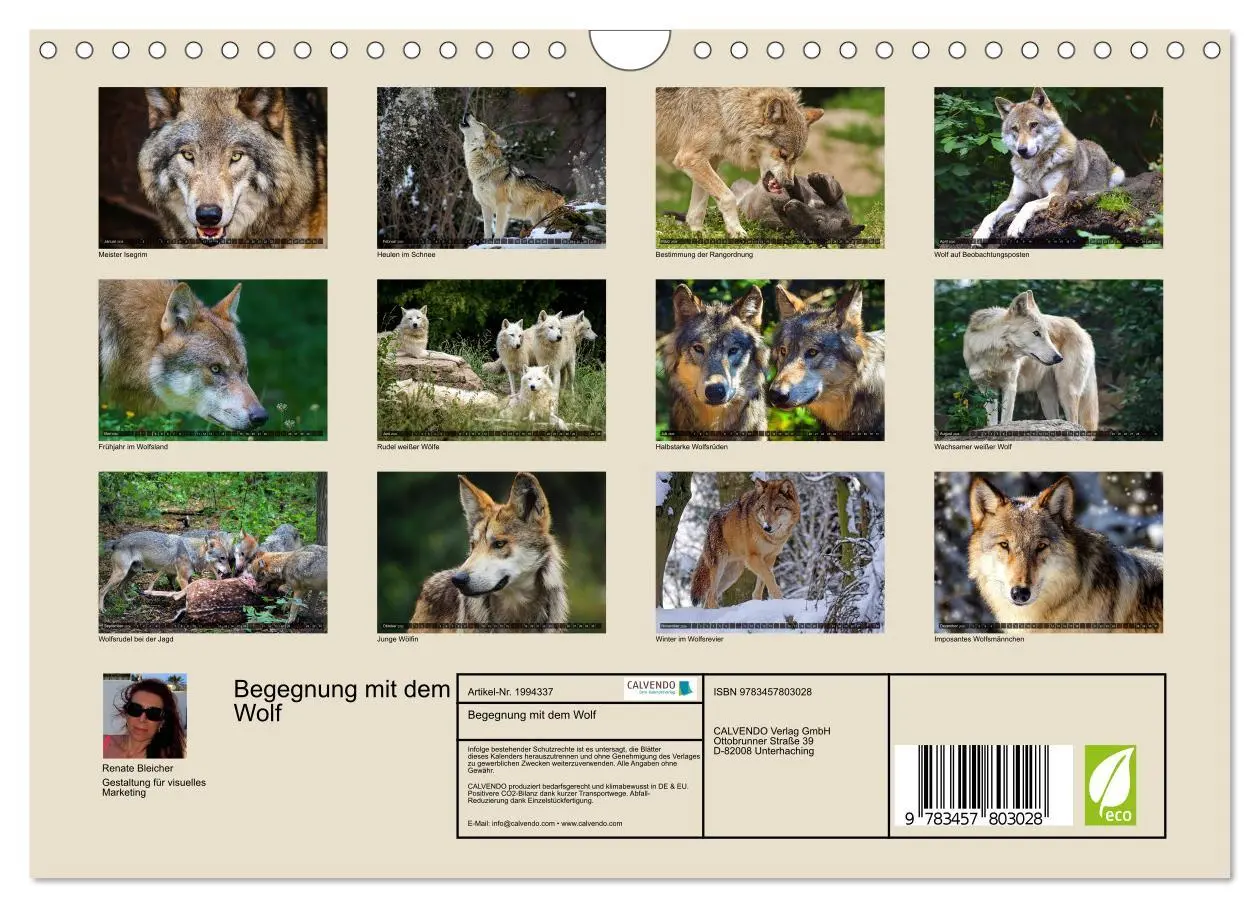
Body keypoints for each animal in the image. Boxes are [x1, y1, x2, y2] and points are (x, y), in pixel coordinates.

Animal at [99, 531, 231, 612]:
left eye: (228, 558)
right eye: (222, 558)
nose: (229, 572)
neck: (192, 552)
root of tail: (117, 541)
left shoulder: (186, 578)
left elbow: (189, 590)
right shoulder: (181, 578)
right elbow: (186, 591)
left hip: (131, 573)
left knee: (119, 588)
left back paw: (128, 601)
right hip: (121, 574)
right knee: (102, 590)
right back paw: (102, 610)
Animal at [656, 87, 824, 238]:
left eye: (796, 158)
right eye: (783, 155)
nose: (789, 184)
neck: (724, 110)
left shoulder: (709, 160)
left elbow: (699, 208)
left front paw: (697, 233)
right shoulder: (690, 158)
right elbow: (728, 197)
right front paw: (736, 231)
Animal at [691, 478, 801, 608]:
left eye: (777, 508)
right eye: (763, 507)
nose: (766, 527)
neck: (772, 538)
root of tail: (710, 519)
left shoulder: (769, 558)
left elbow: (761, 584)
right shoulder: (753, 557)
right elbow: (769, 576)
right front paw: (779, 599)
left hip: (732, 574)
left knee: (709, 597)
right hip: (719, 566)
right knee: (711, 596)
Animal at [963, 290, 1099, 430]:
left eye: (1048, 334)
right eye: (1036, 333)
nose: (1059, 358)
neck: (994, 355)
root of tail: (1083, 331)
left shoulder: (1010, 385)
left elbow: (1005, 420)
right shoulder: (986, 388)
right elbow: (993, 422)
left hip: (1067, 392)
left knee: (1075, 422)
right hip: (1046, 397)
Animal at [973, 88, 1125, 243]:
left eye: (1033, 124)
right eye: (1015, 129)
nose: (1022, 150)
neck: (1033, 169)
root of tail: (1094, 144)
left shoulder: (1054, 194)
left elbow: (1028, 204)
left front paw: (1015, 226)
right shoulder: (1013, 199)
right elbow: (991, 213)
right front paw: (980, 233)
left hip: (1118, 175)